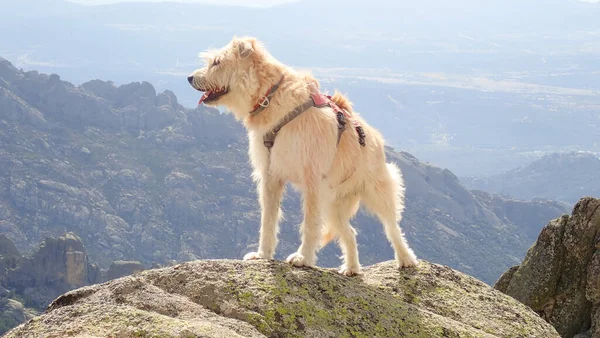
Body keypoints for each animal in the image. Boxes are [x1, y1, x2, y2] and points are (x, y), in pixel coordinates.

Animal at [188, 35, 418, 276]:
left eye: (216, 62)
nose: (189, 78)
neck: (270, 95)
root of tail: (376, 140)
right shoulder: (271, 176)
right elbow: (268, 220)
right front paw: (263, 254)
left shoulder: (312, 181)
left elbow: (309, 224)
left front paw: (303, 257)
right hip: (333, 205)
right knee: (350, 232)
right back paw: (352, 268)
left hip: (377, 191)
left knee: (392, 227)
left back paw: (406, 259)